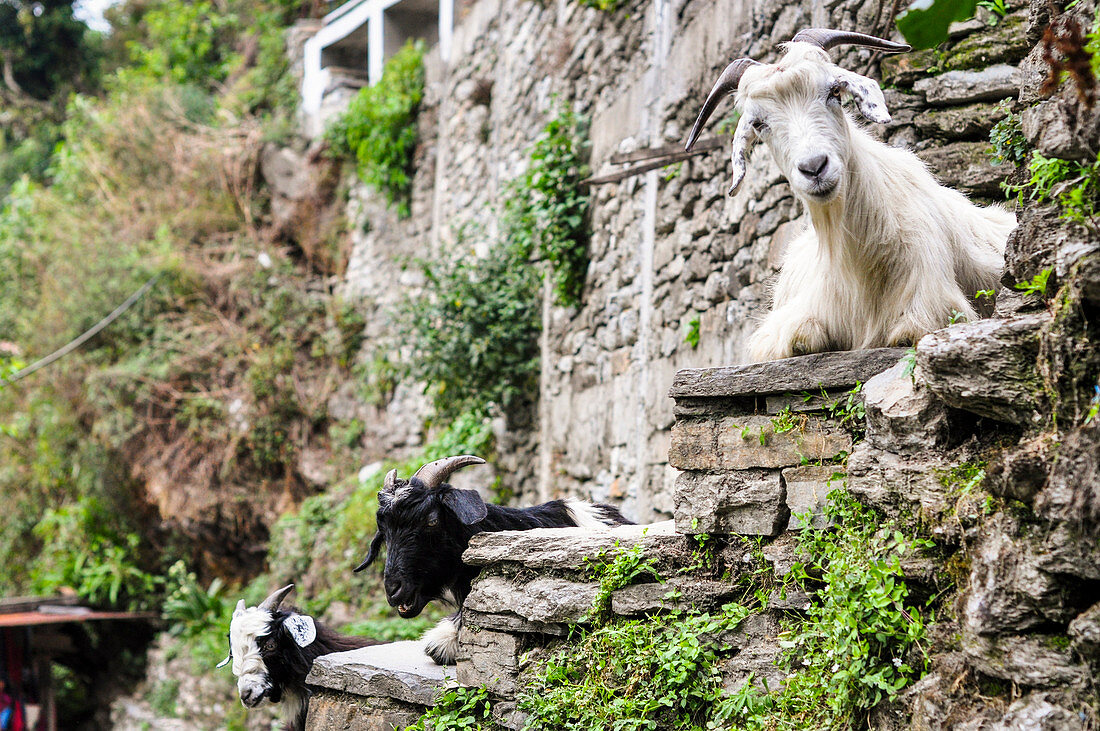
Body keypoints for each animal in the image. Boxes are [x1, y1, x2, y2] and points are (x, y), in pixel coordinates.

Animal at [686, 29, 1012, 362]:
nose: (814, 167)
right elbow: (801, 337)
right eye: (759, 123)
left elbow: (910, 330)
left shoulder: (933, 304)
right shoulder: (785, 325)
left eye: (834, 92)